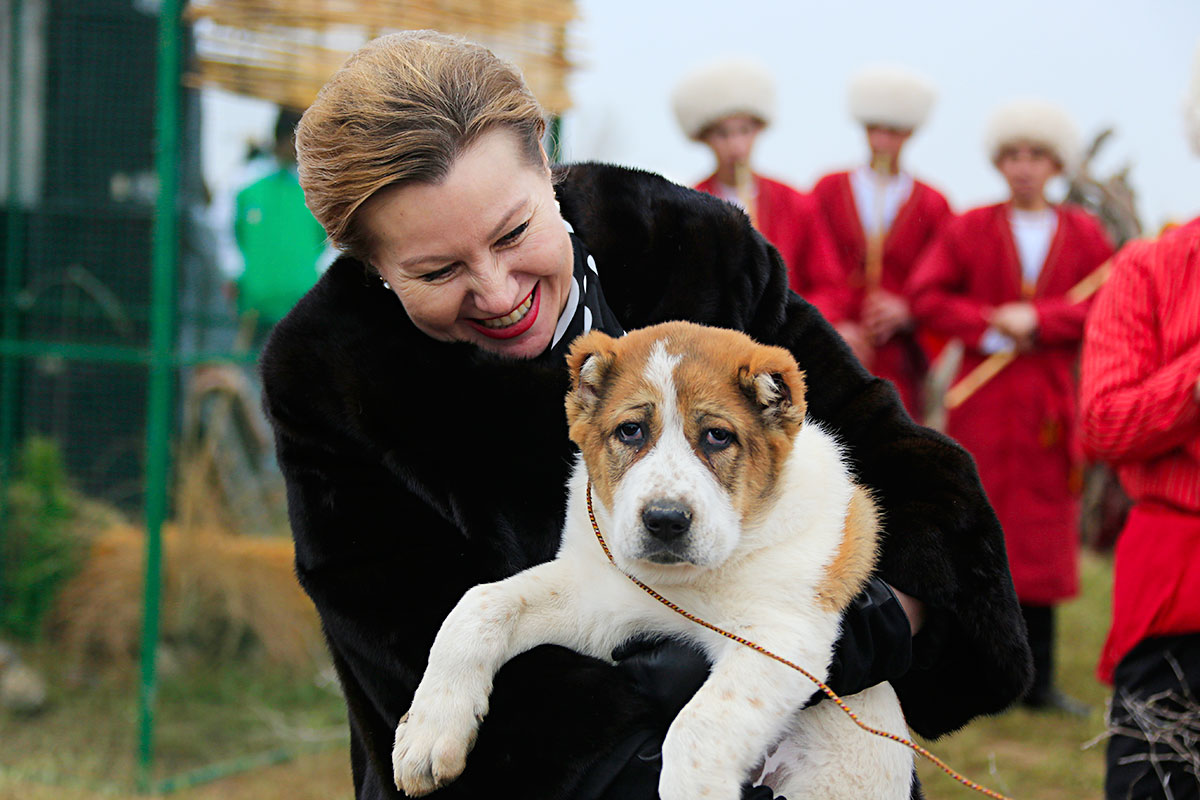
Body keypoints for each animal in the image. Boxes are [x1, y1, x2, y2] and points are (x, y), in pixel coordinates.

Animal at [391, 321, 907, 800]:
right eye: (630, 430)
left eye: (717, 436)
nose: (665, 520)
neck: (681, 581)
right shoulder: (599, 600)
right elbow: (479, 604)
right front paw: (429, 732)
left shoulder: (782, 636)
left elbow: (697, 727)